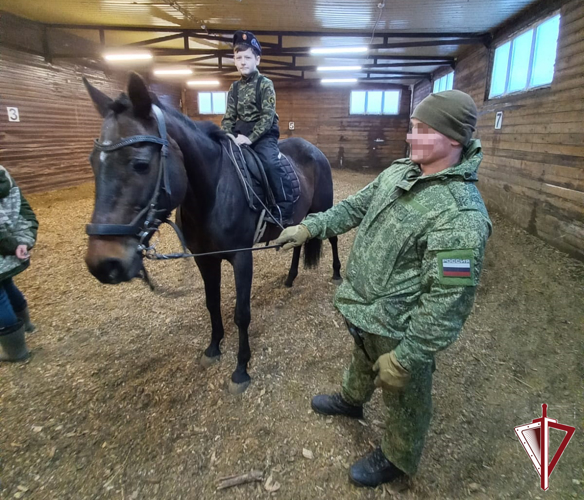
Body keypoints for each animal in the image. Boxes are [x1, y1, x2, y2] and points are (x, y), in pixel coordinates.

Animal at [81, 74, 338, 394]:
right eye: (93, 162)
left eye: (140, 164)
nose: (103, 263)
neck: (213, 190)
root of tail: (314, 150)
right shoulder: (205, 259)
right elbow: (211, 303)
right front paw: (213, 348)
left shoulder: (242, 258)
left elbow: (242, 313)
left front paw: (241, 370)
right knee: (297, 243)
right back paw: (290, 278)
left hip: (324, 208)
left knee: (333, 238)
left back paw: (337, 274)